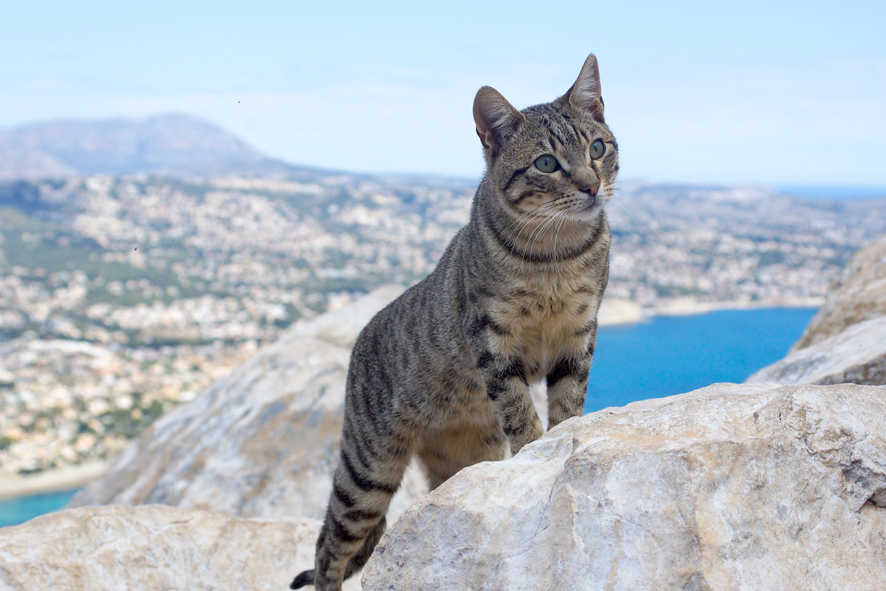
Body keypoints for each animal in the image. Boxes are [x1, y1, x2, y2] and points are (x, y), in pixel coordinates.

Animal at [292, 53, 616, 588]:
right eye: (547, 163)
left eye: (597, 147)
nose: (591, 186)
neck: (556, 256)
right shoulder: (491, 340)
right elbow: (520, 412)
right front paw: (535, 448)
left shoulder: (580, 332)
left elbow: (569, 403)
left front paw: (564, 440)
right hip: (367, 473)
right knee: (327, 548)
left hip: (464, 456)